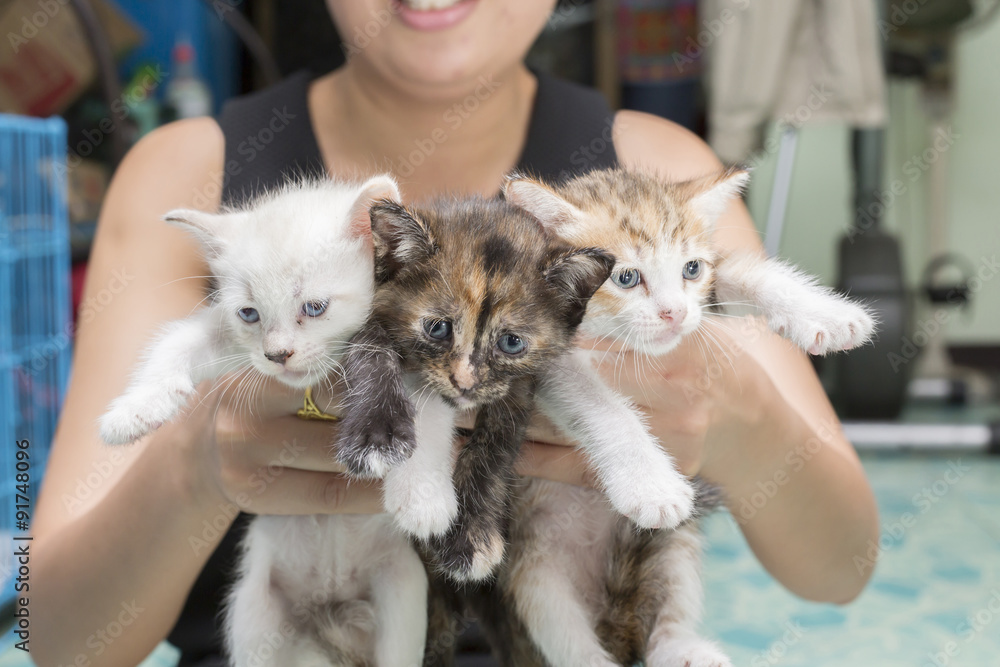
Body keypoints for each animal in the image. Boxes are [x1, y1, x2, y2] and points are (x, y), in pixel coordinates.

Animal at [338, 196, 616, 580]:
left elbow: (497, 442)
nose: (465, 382)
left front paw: (470, 532)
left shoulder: (516, 385)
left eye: (511, 343)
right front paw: (376, 433)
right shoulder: (373, 308)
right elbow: (370, 348)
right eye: (437, 328)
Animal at [450, 168, 872, 667]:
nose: (675, 313)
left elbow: (742, 271)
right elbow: (600, 404)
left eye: (691, 269)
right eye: (626, 277)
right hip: (532, 574)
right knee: (567, 634)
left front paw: (825, 313)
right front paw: (649, 485)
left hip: (672, 547)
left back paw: (684, 649)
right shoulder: (530, 352)